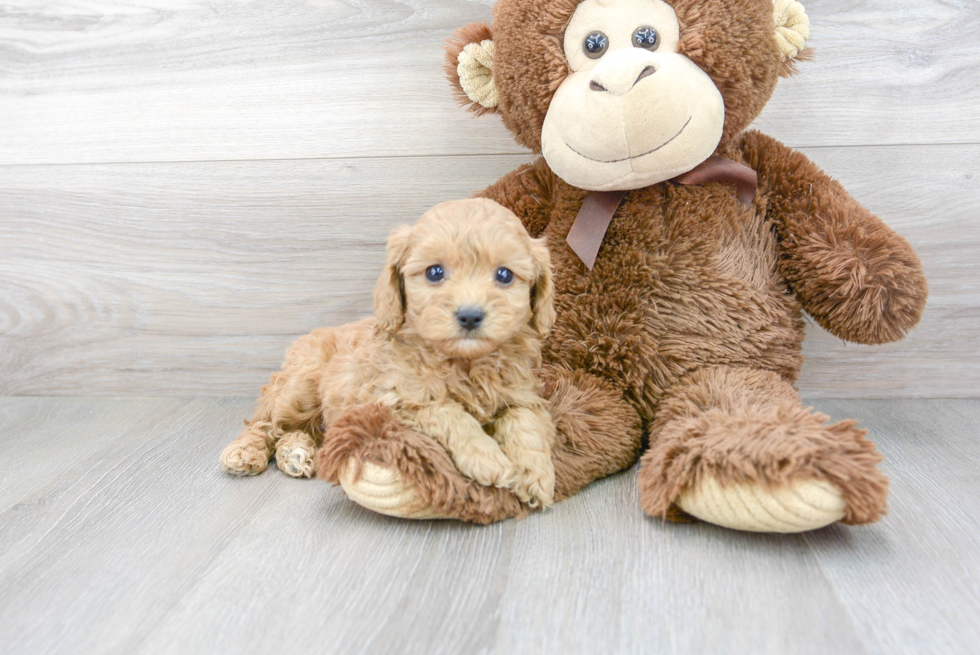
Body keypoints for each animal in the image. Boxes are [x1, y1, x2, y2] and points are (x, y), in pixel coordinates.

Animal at [222, 199, 560, 508]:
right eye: (434, 272)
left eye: (504, 275)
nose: (470, 315)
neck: (465, 361)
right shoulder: (393, 400)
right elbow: (448, 411)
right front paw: (486, 457)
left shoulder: (522, 394)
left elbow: (525, 423)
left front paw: (536, 474)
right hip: (300, 386)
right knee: (266, 423)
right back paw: (246, 452)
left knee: (297, 431)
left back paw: (296, 453)